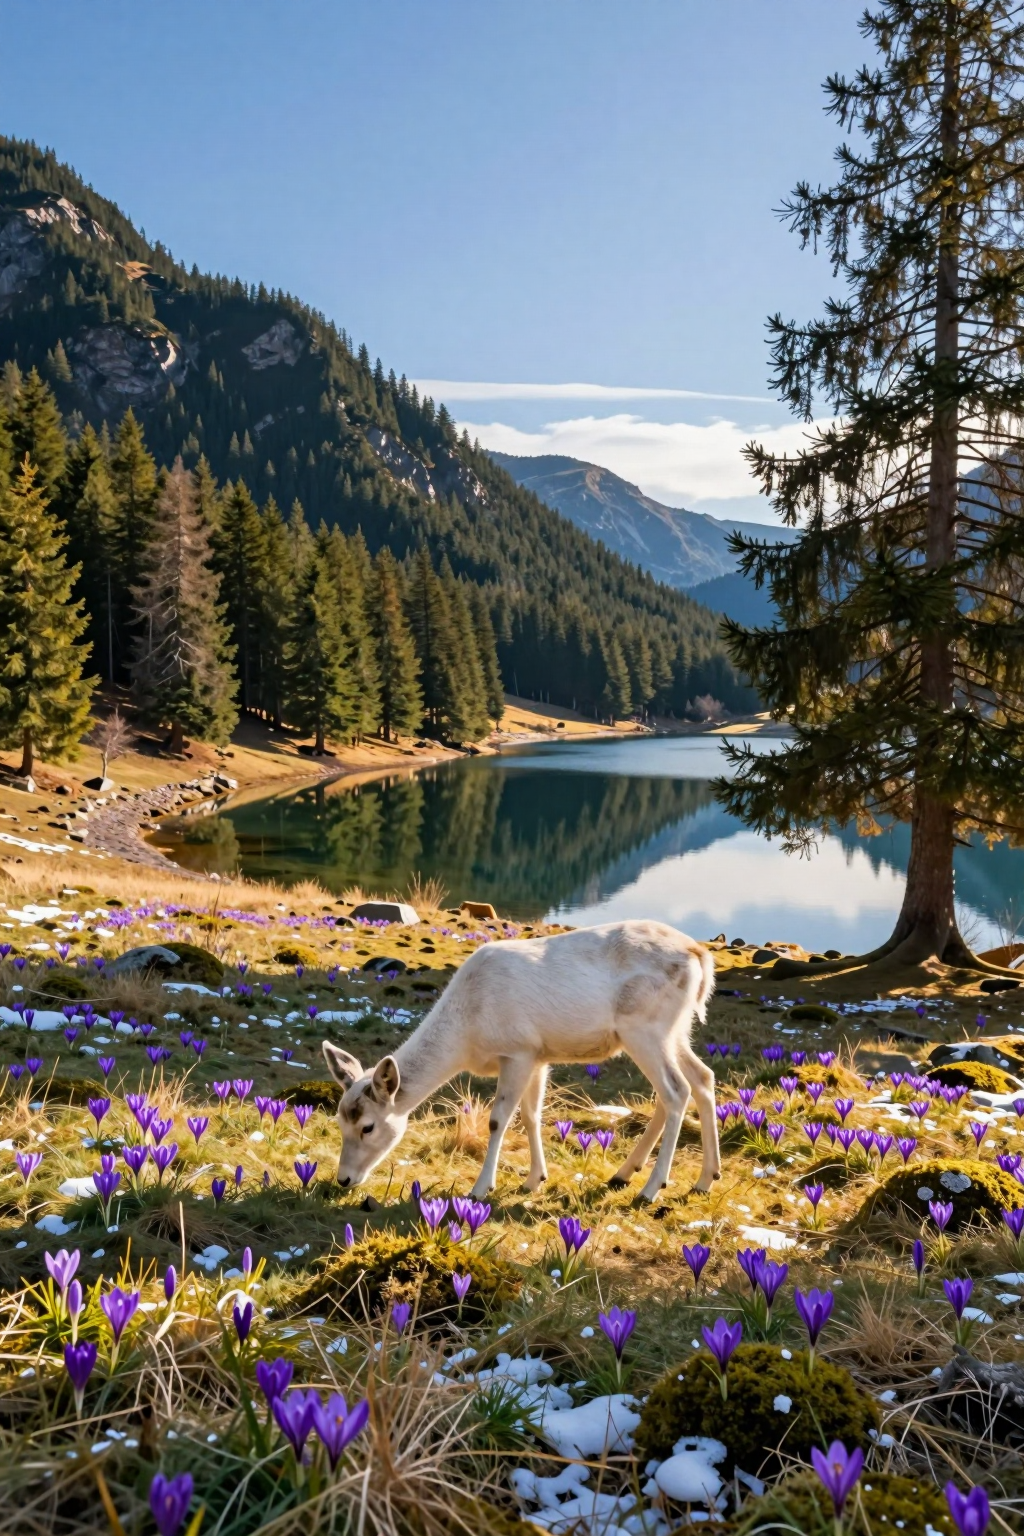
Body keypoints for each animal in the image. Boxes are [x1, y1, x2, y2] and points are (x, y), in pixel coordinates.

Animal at [321, 918, 720, 1204]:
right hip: (674, 1030)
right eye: (338, 1122)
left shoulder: (517, 1050)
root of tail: (698, 953)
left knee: (675, 1091)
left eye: (368, 1127)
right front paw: (534, 1180)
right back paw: (693, 1178)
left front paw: (480, 1188)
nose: (343, 1179)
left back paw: (651, 1188)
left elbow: (499, 1119)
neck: (467, 1033)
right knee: (701, 1078)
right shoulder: (538, 1055)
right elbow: (531, 1115)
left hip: (646, 1028)